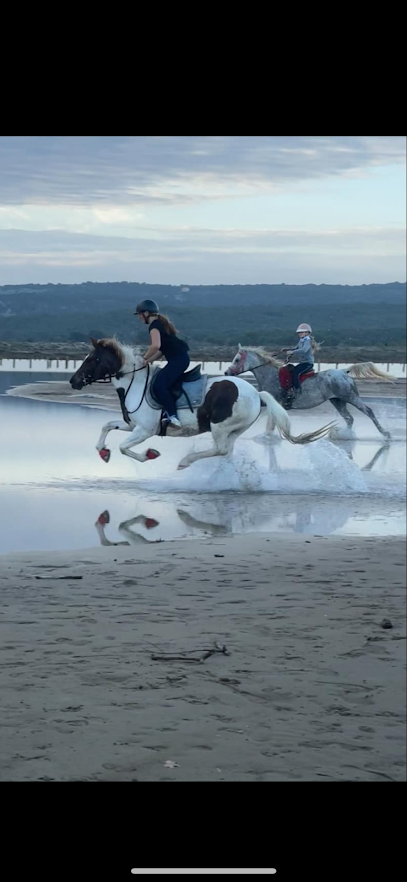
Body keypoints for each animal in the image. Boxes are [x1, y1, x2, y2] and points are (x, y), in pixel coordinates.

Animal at [69, 338, 335, 470]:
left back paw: (185, 462)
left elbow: (125, 447)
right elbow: (106, 426)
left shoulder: (145, 430)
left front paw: (149, 454)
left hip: (219, 426)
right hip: (235, 430)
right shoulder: (132, 425)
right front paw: (103, 451)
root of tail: (256, 393)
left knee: (220, 449)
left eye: (92, 359)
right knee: (226, 451)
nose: (73, 381)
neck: (135, 383)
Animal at [225, 345, 393, 440]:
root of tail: (344, 371)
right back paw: (343, 435)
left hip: (351, 397)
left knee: (368, 411)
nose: (226, 372)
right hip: (337, 401)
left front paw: (267, 436)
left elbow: (271, 421)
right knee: (349, 418)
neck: (271, 375)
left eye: (237, 360)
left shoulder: (274, 402)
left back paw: (385, 433)